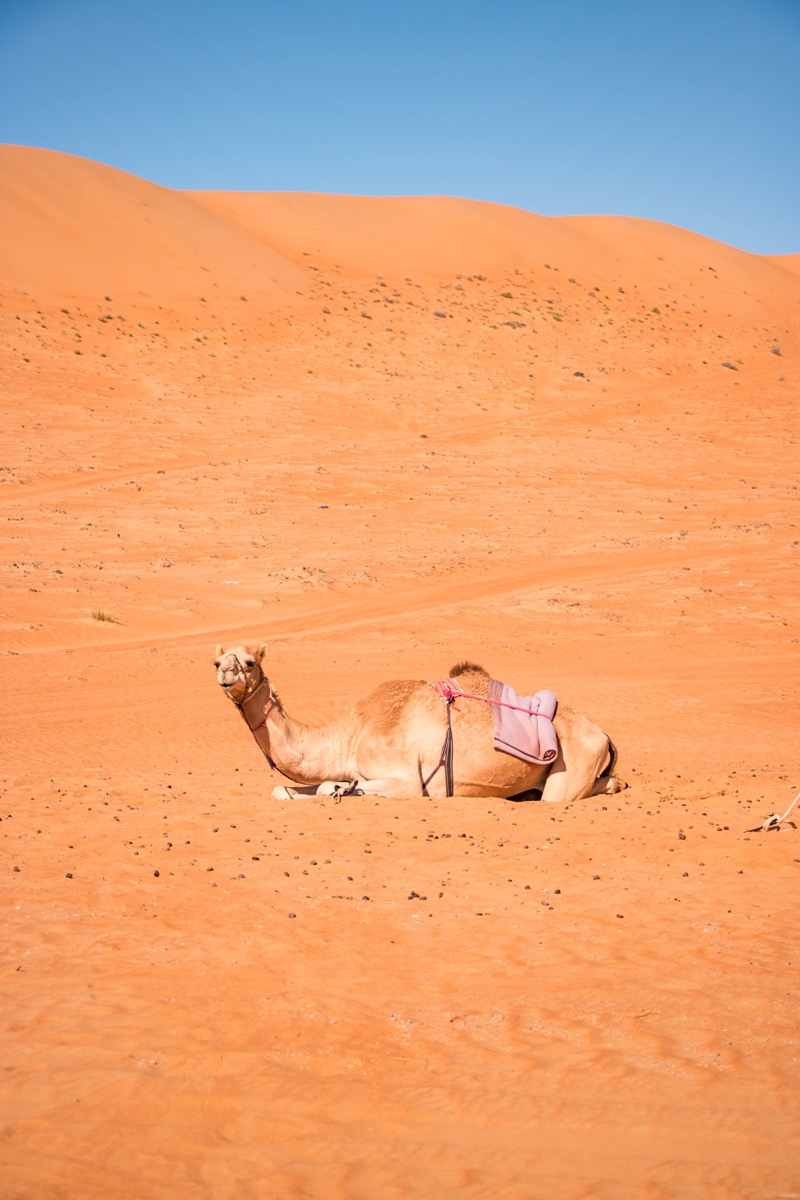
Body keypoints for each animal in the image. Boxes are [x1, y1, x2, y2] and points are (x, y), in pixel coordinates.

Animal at [215, 643, 628, 801]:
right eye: (218, 660)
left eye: (249, 661)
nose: (225, 675)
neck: (351, 734)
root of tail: (603, 734)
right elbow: (285, 790)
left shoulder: (410, 781)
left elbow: (328, 789)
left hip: (571, 765)